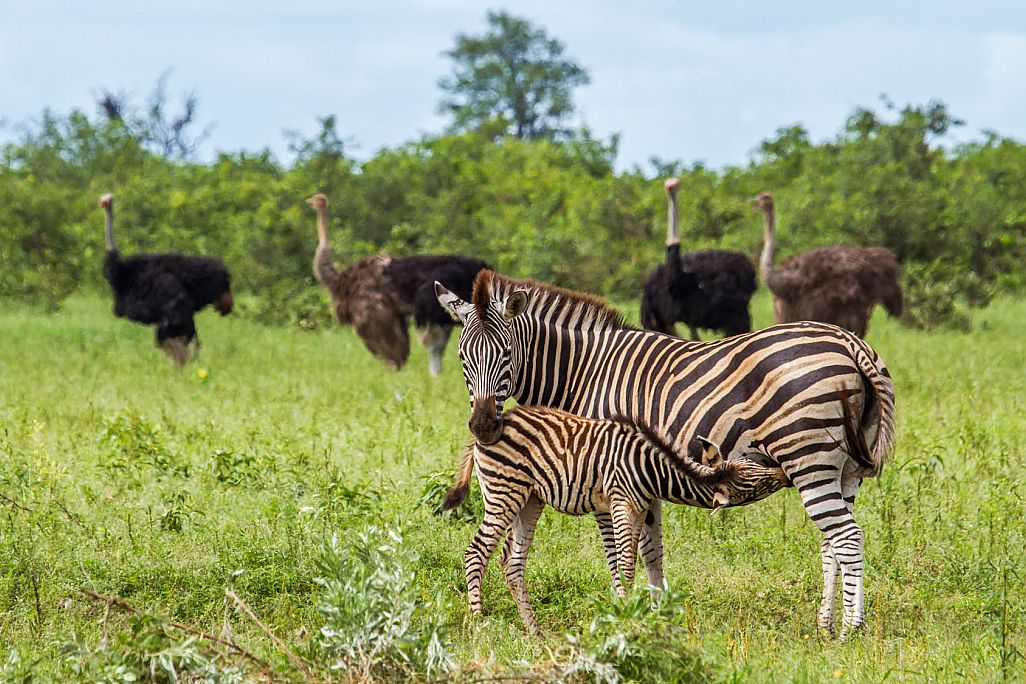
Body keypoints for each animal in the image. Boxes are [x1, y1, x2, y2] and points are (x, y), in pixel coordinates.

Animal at [441, 404, 783, 635]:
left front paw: (628, 612)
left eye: (753, 468)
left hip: (529, 499)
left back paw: (534, 631)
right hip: (504, 492)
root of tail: (485, 432)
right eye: (756, 484)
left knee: (512, 562)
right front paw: (627, 618)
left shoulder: (640, 508)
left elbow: (633, 562)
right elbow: (627, 565)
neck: (652, 468)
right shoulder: (620, 502)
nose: (782, 469)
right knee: (476, 552)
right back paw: (478, 621)